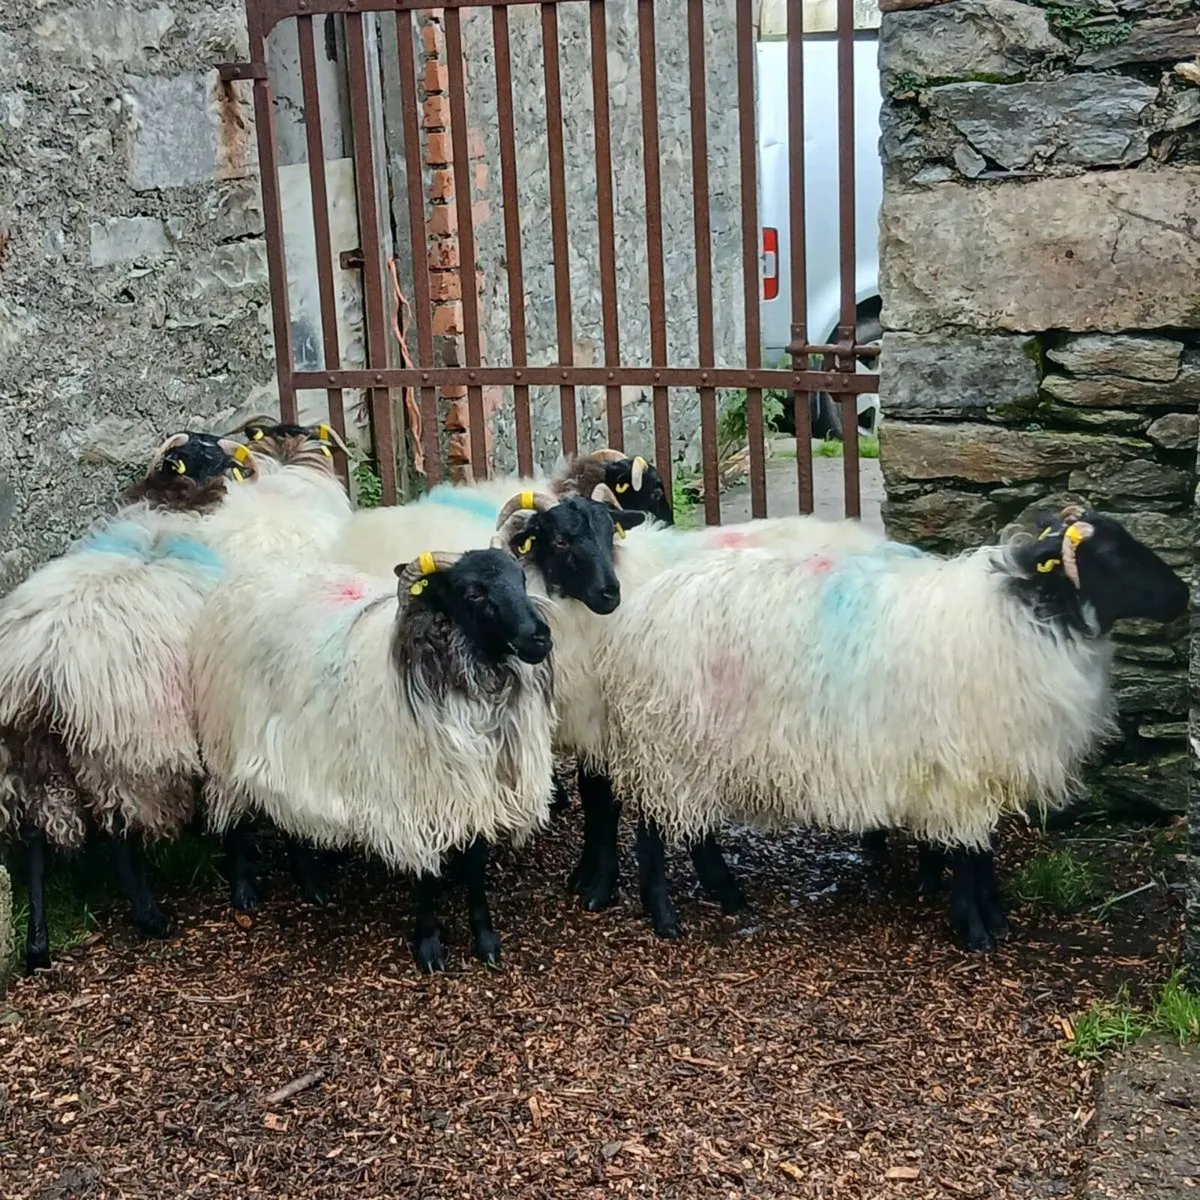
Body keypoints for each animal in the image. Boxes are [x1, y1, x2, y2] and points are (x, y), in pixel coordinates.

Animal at [0, 431, 260, 972]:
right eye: (207, 450)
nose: (243, 455)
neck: (173, 507)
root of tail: (38, 673)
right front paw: (243, 880)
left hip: (27, 764)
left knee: (34, 845)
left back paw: (37, 944)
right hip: (120, 754)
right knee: (120, 835)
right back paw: (150, 917)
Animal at [191, 547, 558, 971]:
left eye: (521, 579)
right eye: (473, 593)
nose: (540, 636)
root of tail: (244, 576)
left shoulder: (479, 793)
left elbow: (476, 871)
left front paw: (486, 942)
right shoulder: (418, 800)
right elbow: (425, 879)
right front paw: (429, 948)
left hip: (294, 751)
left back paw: (312, 885)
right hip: (226, 737)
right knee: (233, 820)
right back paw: (244, 891)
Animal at [593, 505, 1189, 951]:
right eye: (1107, 555)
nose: (1181, 595)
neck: (1022, 618)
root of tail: (638, 617)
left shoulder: (983, 767)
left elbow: (983, 851)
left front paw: (993, 915)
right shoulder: (962, 771)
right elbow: (970, 854)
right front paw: (975, 930)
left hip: (692, 749)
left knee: (696, 831)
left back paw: (729, 897)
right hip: (665, 743)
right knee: (652, 830)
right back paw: (666, 916)